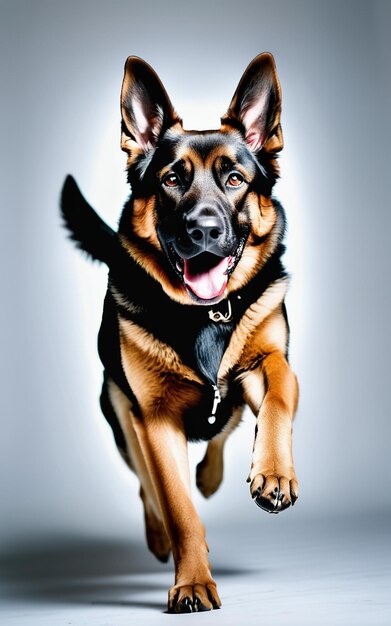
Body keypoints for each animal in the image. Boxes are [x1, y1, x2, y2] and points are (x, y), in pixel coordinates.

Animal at [61, 52, 300, 608]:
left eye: (235, 179)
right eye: (172, 179)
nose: (204, 230)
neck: (205, 316)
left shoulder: (268, 365)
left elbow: (278, 393)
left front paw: (274, 473)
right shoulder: (154, 420)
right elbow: (176, 505)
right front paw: (192, 580)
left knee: (225, 430)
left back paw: (214, 475)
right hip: (123, 418)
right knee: (148, 485)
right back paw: (159, 534)